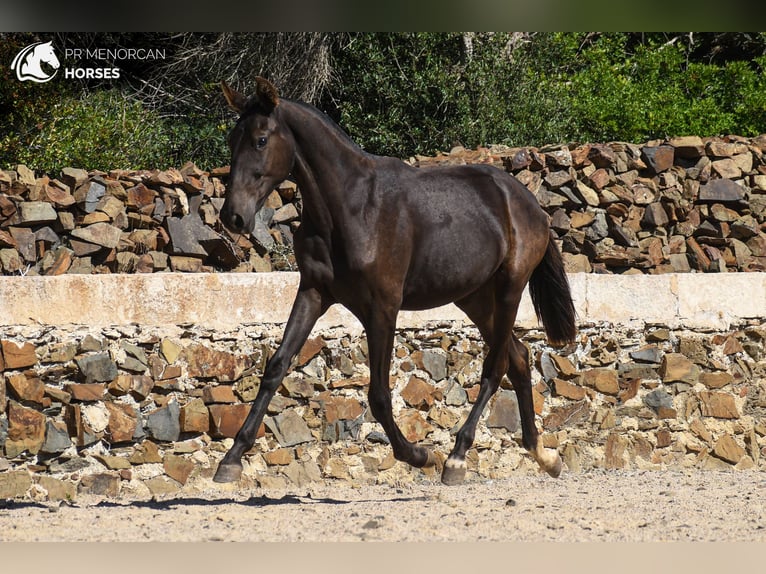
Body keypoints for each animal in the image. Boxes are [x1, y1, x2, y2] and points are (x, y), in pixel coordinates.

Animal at [213, 79, 572, 488]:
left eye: (260, 140)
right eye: (231, 139)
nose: (233, 217)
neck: (350, 208)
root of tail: (532, 205)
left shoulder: (382, 306)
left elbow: (380, 394)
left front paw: (418, 455)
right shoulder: (314, 293)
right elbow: (276, 367)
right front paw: (231, 458)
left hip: (509, 289)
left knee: (495, 368)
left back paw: (456, 458)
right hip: (476, 299)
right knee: (520, 357)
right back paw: (543, 455)